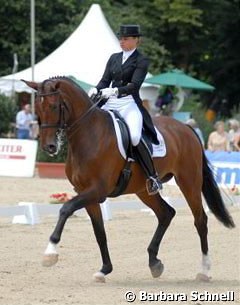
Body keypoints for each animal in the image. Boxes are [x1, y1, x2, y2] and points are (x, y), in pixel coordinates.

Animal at [23, 77, 234, 282]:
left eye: (53, 106)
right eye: (37, 109)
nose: (49, 147)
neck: (89, 134)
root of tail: (187, 128)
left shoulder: (97, 190)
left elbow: (66, 208)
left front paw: (50, 253)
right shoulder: (85, 192)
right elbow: (99, 232)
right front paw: (104, 270)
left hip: (189, 182)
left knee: (200, 220)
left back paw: (204, 270)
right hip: (144, 190)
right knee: (166, 213)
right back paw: (154, 263)